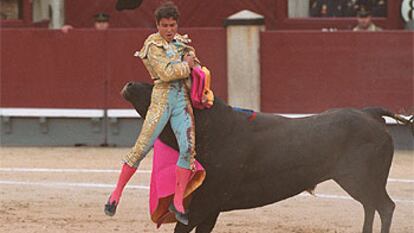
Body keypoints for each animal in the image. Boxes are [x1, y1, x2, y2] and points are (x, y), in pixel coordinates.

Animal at [119, 82, 410, 233]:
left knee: (384, 206)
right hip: (359, 182)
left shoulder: (203, 204)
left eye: (163, 90)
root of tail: (370, 113)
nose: (129, 85)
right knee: (371, 206)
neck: (212, 129)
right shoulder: (209, 207)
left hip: (362, 179)